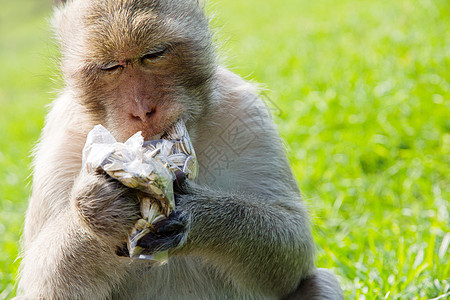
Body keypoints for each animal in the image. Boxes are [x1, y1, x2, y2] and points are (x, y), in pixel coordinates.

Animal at [15, 0, 342, 300]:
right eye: (111, 67)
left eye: (154, 54)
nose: (142, 110)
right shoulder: (59, 141)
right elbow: (43, 286)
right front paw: (100, 204)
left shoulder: (247, 115)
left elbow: (293, 247)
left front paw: (199, 213)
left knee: (321, 282)